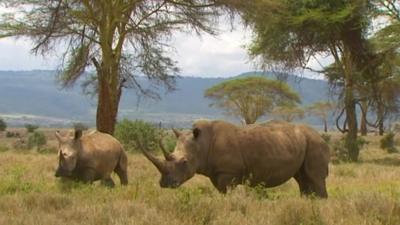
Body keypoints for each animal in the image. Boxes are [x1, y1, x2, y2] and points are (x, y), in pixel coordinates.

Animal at [141, 119, 328, 197]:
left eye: (184, 162)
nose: (164, 184)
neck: (201, 144)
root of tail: (320, 136)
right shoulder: (217, 172)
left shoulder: (228, 173)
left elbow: (227, 193)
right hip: (301, 142)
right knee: (303, 179)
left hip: (315, 143)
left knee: (315, 178)